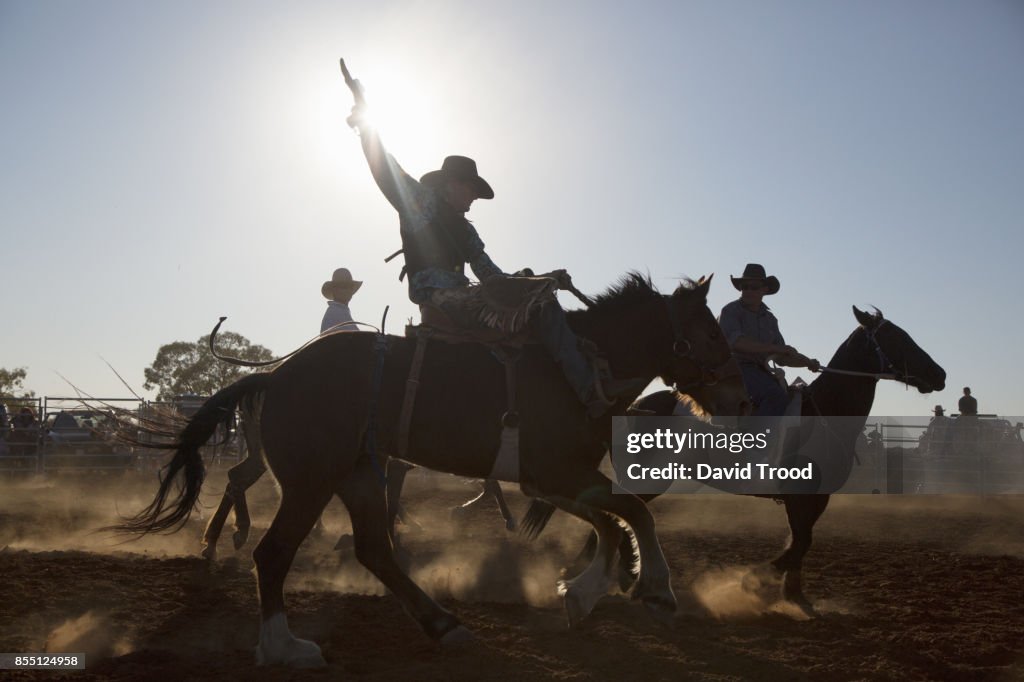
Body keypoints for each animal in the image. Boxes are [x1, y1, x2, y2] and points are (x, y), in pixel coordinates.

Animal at [116, 272, 749, 663]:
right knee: (274, 553)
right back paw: (283, 646)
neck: (580, 367)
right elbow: (634, 513)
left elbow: (613, 522)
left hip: (358, 476)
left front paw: (582, 593)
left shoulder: (551, 479)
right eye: (710, 331)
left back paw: (444, 624)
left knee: (374, 549)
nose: (742, 398)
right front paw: (656, 591)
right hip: (311, 481)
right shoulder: (558, 473)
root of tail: (274, 375)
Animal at [524, 305, 946, 614]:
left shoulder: (816, 499)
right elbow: (799, 542)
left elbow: (803, 541)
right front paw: (752, 581)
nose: (939, 374)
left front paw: (795, 596)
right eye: (896, 338)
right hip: (648, 477)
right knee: (621, 511)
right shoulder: (799, 497)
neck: (824, 412)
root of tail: (631, 406)